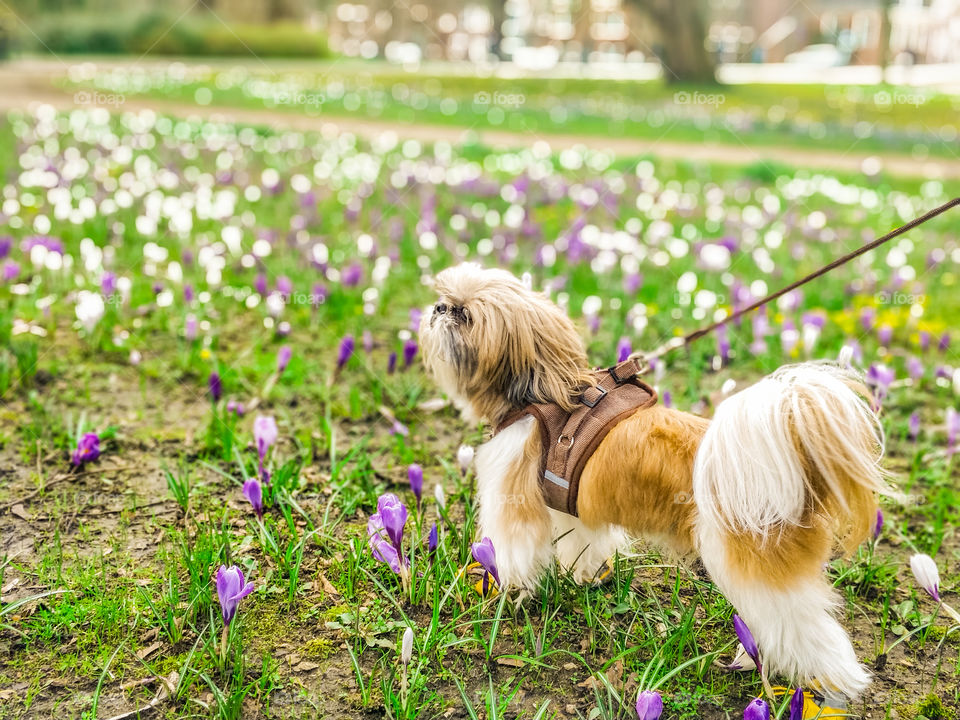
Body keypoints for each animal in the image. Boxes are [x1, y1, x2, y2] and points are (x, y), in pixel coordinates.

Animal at [420, 262, 892, 696]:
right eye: (445, 298)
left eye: (465, 315)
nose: (439, 309)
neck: (543, 393)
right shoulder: (574, 504)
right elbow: (584, 544)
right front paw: (586, 576)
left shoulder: (512, 501)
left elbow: (511, 554)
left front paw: (505, 592)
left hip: (761, 579)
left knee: (809, 633)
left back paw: (830, 685)